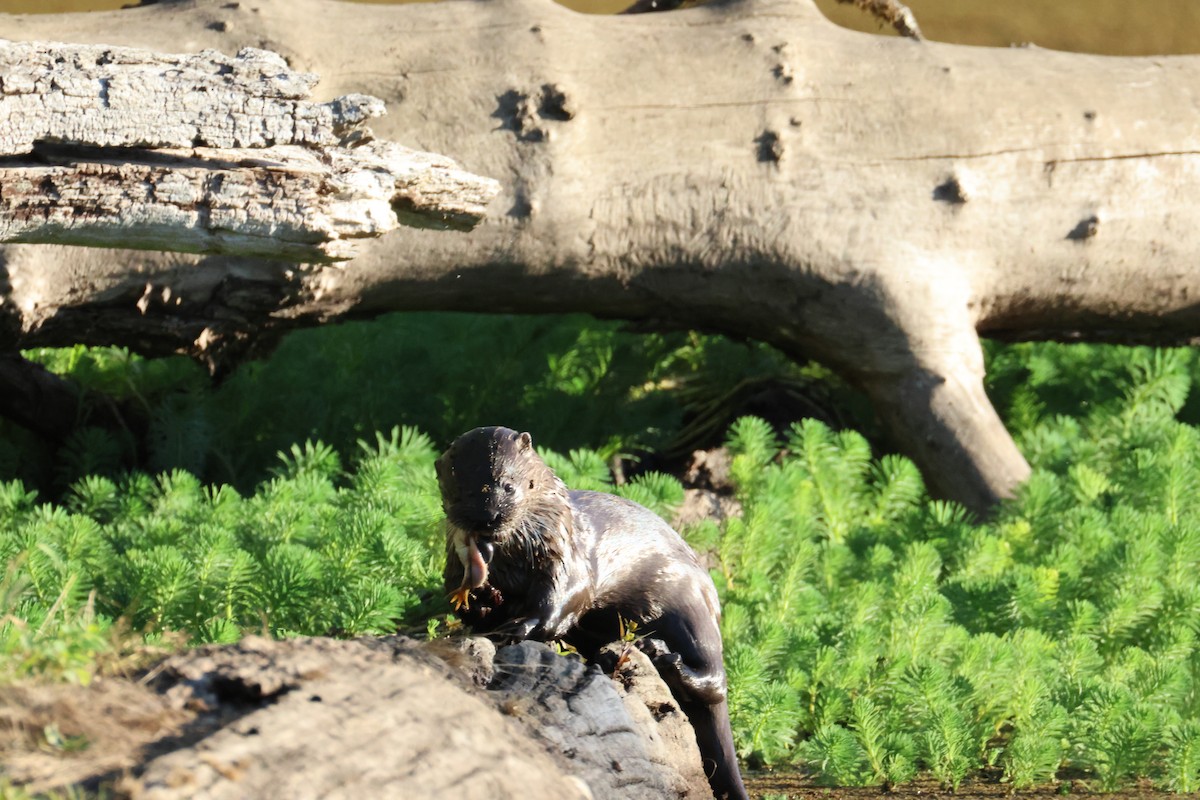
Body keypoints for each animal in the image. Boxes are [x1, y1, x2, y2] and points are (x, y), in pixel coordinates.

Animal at [438, 426, 748, 800]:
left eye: (509, 485)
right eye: (460, 490)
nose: (488, 518)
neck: (515, 562)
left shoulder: (565, 557)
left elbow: (565, 597)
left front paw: (520, 625)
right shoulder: (456, 567)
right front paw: (484, 602)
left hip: (691, 609)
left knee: (715, 680)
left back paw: (661, 656)